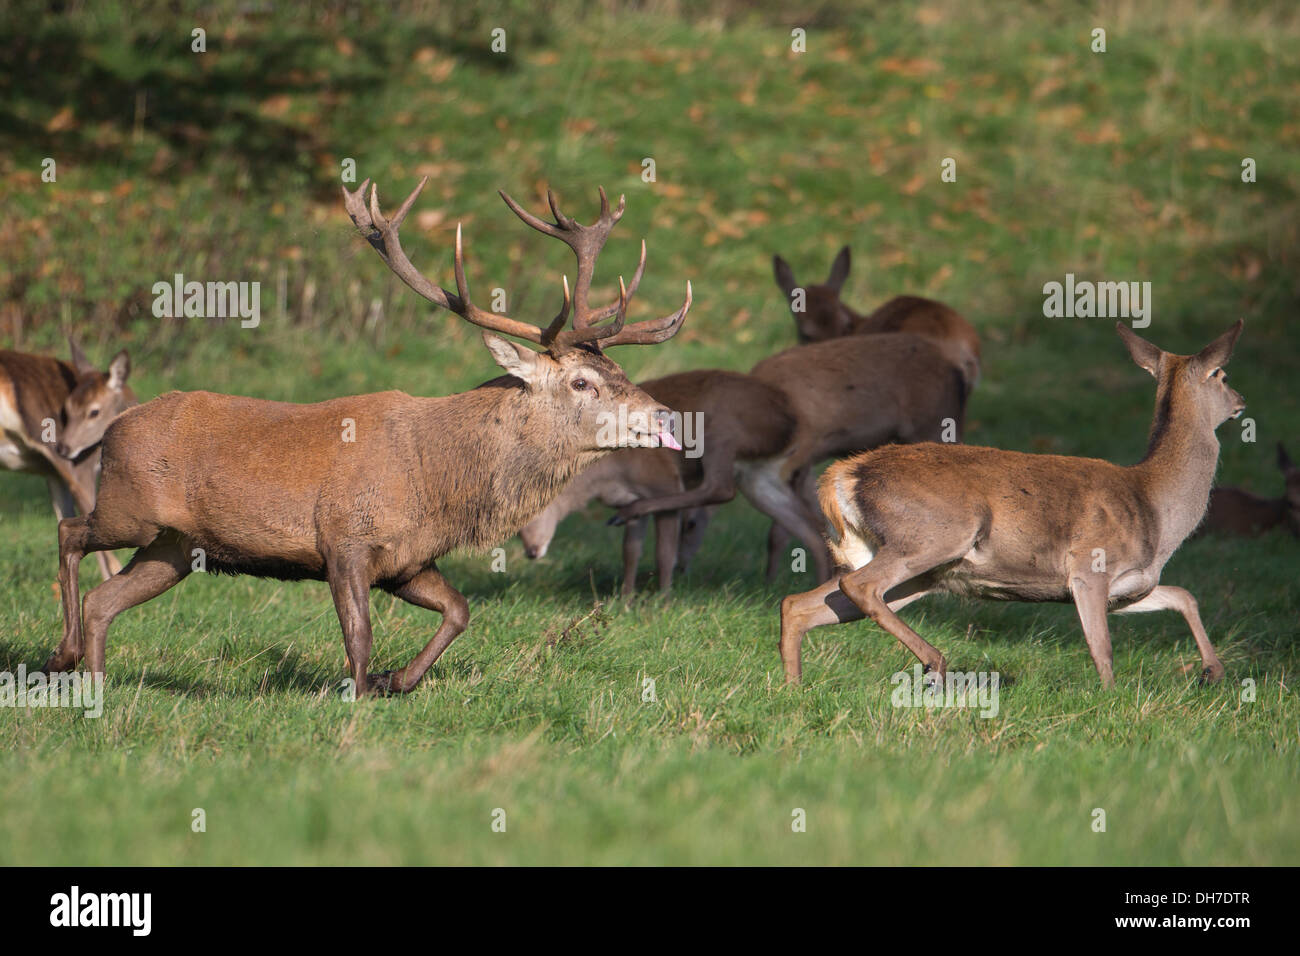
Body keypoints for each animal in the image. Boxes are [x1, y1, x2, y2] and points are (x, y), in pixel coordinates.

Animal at [40, 178, 691, 697]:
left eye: (620, 372)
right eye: (582, 382)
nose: (665, 416)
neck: (439, 481)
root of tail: (117, 426)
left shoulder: (408, 561)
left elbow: (461, 610)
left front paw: (394, 681)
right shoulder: (343, 539)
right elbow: (359, 635)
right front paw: (356, 696)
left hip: (175, 548)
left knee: (104, 600)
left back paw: (92, 684)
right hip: (131, 509)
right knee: (70, 531)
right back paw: (62, 654)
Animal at [522, 366, 826, 590]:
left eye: (534, 508)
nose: (531, 551)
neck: (605, 478)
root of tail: (793, 422)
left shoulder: (662, 479)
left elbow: (664, 551)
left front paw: (663, 599)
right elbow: (630, 552)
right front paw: (624, 599)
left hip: (722, 429)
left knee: (721, 488)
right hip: (761, 473)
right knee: (809, 526)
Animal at [774, 321, 1242, 686]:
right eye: (1221, 374)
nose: (1241, 402)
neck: (1157, 509)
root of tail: (842, 475)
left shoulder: (1128, 587)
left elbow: (1183, 594)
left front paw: (1213, 671)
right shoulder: (1090, 567)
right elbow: (1103, 651)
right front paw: (1113, 700)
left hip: (907, 569)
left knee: (801, 604)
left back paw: (794, 688)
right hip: (935, 535)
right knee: (858, 587)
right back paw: (934, 662)